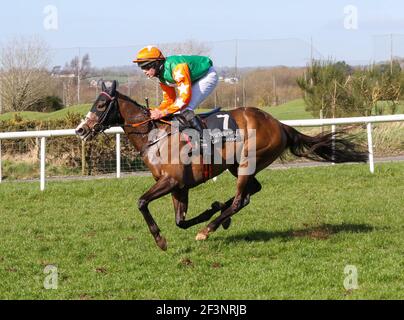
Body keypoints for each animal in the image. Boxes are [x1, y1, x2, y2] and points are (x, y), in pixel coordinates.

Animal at [74, 81, 368, 251]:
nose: (80, 130)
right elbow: (180, 221)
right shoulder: (179, 187)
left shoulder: (171, 182)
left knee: (241, 199)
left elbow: (141, 202)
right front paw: (210, 209)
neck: (155, 136)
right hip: (237, 165)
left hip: (248, 162)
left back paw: (209, 230)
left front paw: (160, 240)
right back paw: (220, 215)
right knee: (251, 192)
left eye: (101, 104)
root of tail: (280, 124)